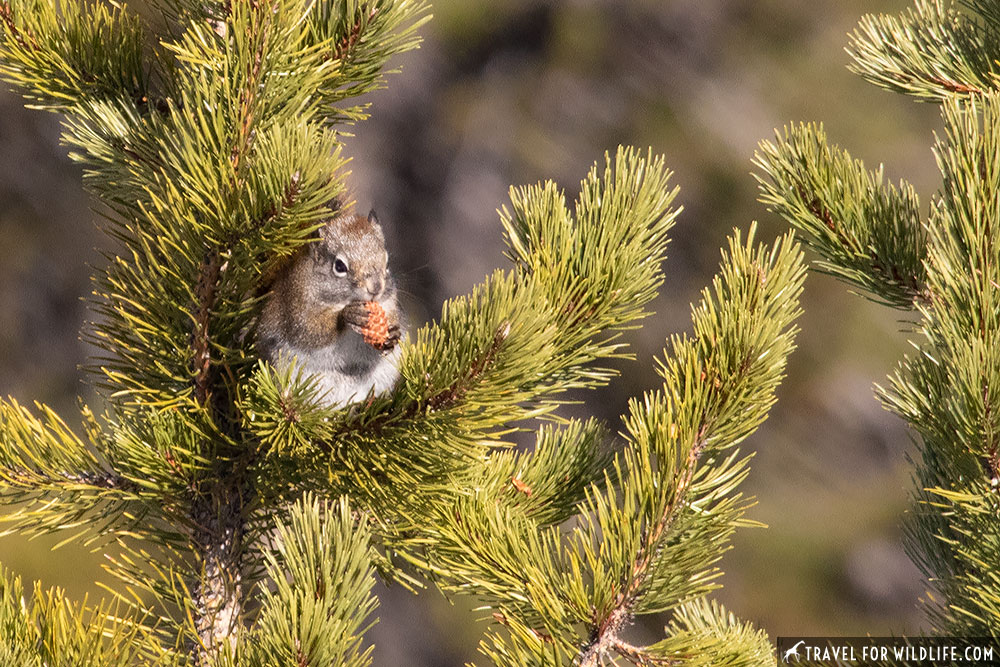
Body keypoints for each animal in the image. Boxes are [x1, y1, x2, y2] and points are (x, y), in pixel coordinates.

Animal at [258, 210, 406, 408]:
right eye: (340, 266)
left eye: (387, 263)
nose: (375, 288)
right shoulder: (297, 307)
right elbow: (312, 331)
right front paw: (348, 315)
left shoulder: (389, 303)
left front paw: (393, 334)